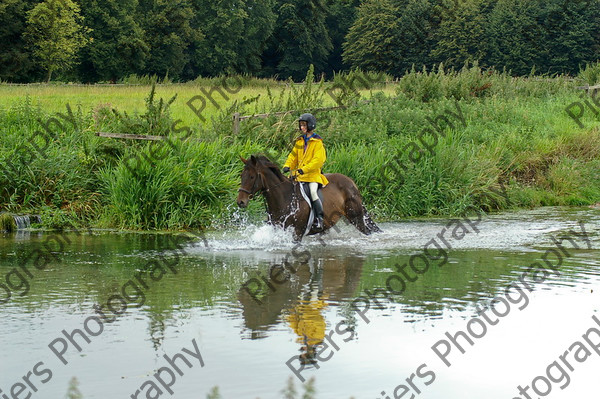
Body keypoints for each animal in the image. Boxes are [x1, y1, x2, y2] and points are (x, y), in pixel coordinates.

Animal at [237, 155, 382, 244]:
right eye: (241, 175)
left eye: (251, 177)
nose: (240, 202)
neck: (285, 197)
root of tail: (351, 182)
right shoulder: (277, 229)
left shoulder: (297, 231)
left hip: (356, 217)